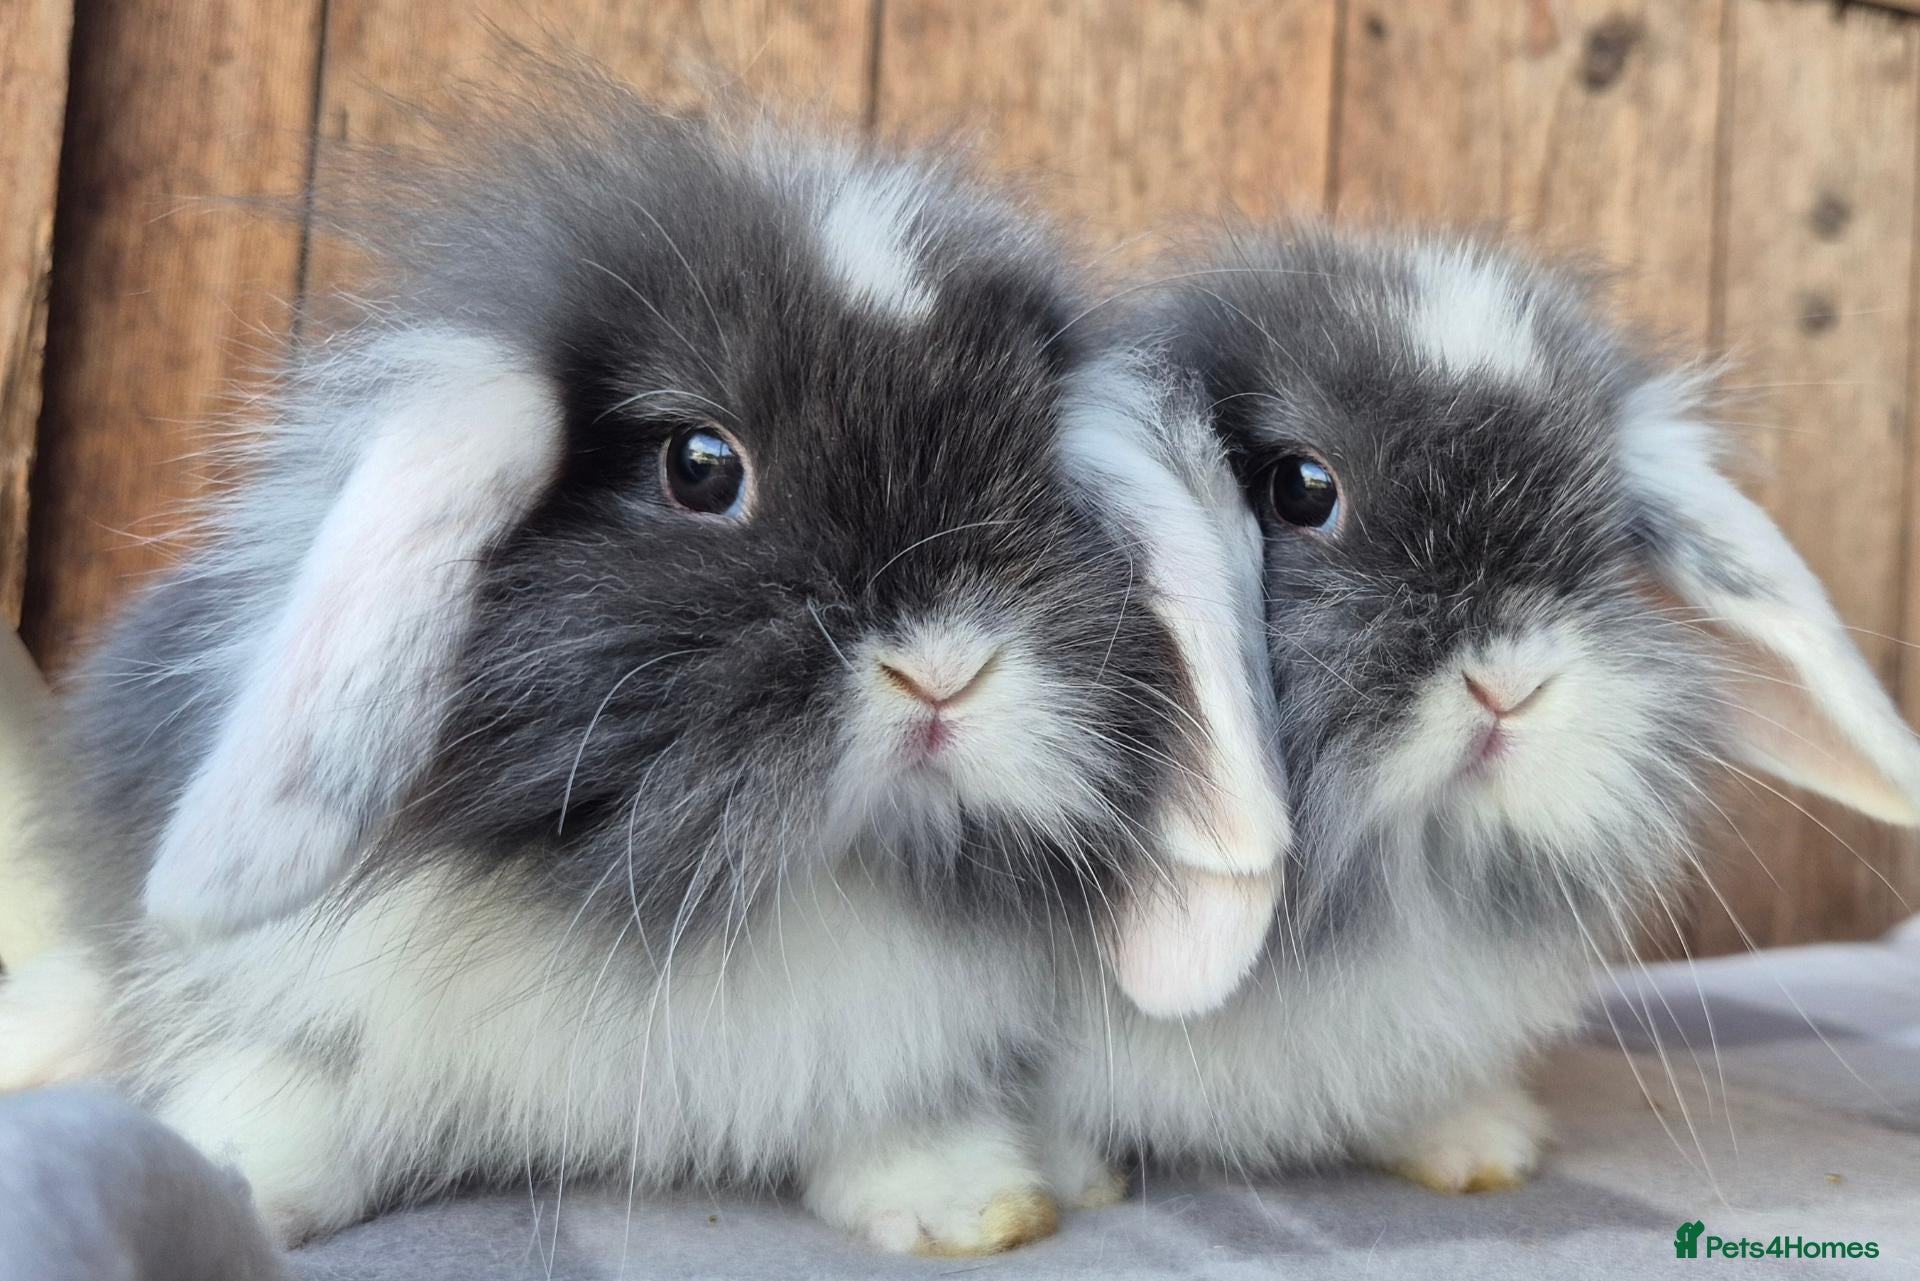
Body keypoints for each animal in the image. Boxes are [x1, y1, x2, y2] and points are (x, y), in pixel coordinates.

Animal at [0, 65, 1291, 1257]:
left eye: (1044, 475)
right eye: (701, 466)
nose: (943, 672)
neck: (712, 908)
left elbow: (907, 1117)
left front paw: (970, 1208)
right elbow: (289, 1087)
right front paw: (236, 1183)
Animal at [1038, 227, 1920, 1201]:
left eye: (1609, 527)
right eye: (1301, 488)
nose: (1511, 684)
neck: (1405, 876)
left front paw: (1478, 1143)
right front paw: (1028, 1182)